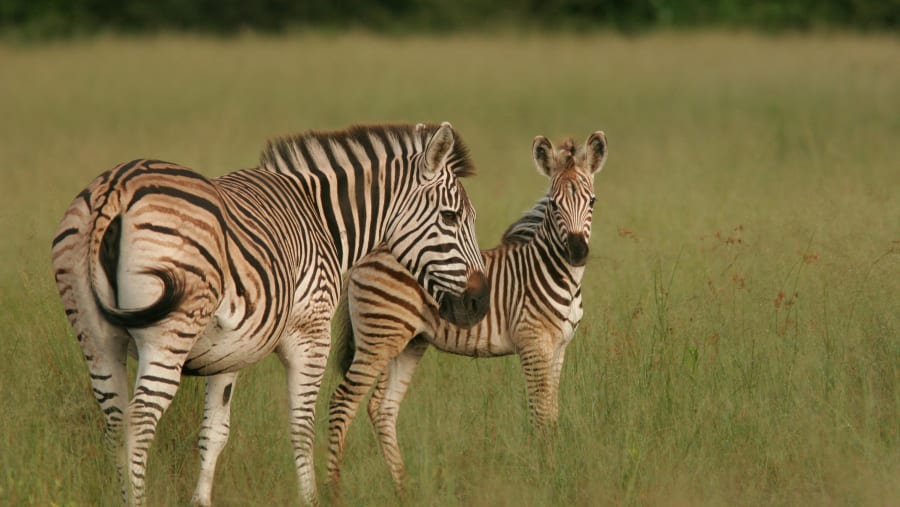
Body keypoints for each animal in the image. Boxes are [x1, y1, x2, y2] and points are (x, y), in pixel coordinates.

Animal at [50, 122, 490, 506]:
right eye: (451, 217)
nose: (480, 303)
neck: (322, 219)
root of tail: (116, 186)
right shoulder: (310, 334)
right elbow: (301, 424)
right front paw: (312, 498)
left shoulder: (227, 354)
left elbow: (215, 432)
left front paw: (201, 500)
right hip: (167, 334)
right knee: (139, 420)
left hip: (94, 334)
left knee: (114, 421)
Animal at [326, 131, 608, 492]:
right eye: (555, 205)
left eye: (592, 202)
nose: (577, 252)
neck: (556, 273)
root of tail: (368, 254)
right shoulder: (533, 344)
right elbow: (540, 413)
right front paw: (543, 476)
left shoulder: (559, 348)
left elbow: (552, 413)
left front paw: (552, 469)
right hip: (379, 339)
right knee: (343, 403)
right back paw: (334, 490)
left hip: (406, 342)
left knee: (382, 407)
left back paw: (404, 487)